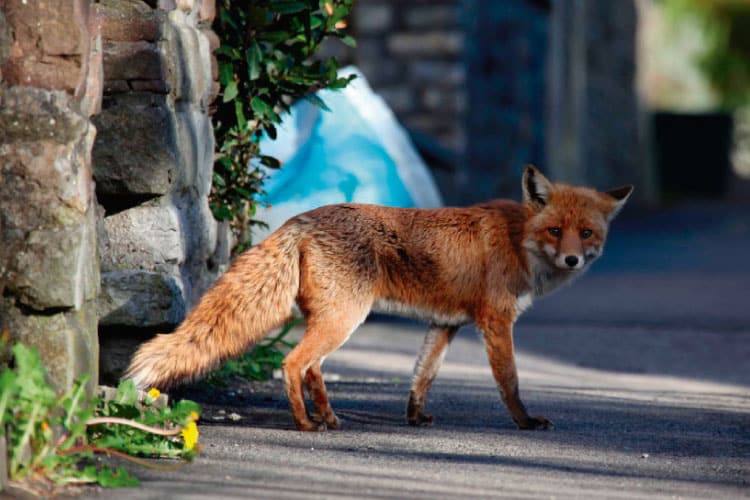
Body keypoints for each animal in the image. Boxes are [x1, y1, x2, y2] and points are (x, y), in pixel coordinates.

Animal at [128, 166, 636, 432]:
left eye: (585, 233)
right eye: (555, 231)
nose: (572, 259)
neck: (519, 241)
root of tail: (301, 220)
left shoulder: (446, 323)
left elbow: (422, 375)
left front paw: (414, 417)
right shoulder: (495, 321)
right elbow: (509, 380)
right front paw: (525, 422)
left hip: (335, 321)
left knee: (313, 368)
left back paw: (330, 417)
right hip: (344, 319)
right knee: (294, 364)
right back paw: (307, 424)